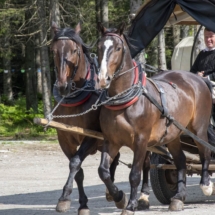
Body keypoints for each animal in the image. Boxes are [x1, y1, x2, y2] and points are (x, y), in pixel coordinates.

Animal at [50, 22, 121, 214]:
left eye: (75, 50)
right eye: (53, 50)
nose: (62, 86)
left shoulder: (91, 136)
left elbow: (75, 163)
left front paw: (65, 197)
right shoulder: (64, 138)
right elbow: (78, 170)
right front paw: (81, 204)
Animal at [97, 22, 215, 215]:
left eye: (118, 48)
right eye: (99, 47)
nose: (102, 78)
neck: (125, 100)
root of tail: (198, 79)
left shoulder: (141, 140)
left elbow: (135, 174)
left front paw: (130, 205)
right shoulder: (111, 141)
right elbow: (104, 171)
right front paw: (119, 197)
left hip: (199, 129)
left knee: (205, 152)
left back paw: (205, 185)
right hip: (174, 135)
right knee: (180, 160)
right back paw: (178, 198)